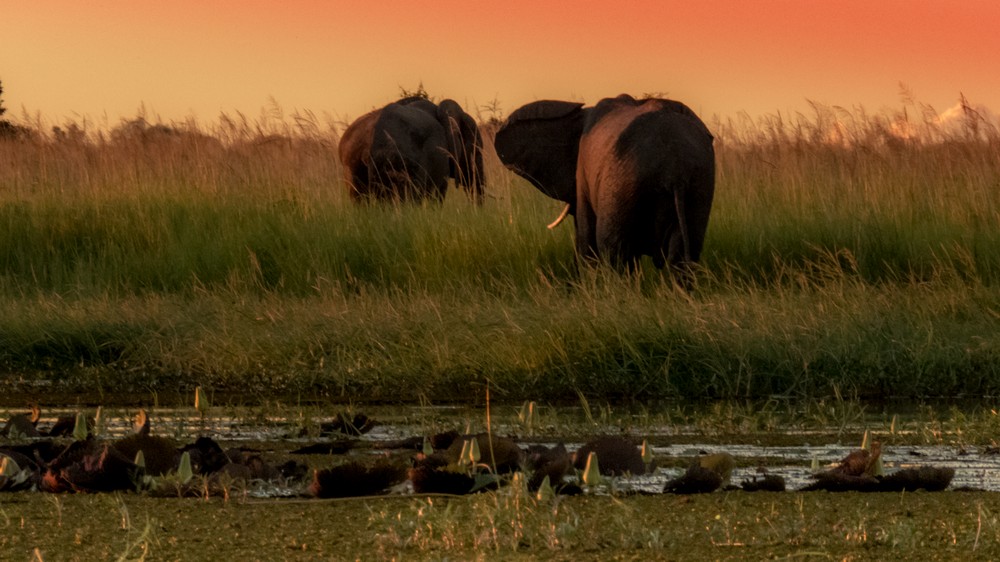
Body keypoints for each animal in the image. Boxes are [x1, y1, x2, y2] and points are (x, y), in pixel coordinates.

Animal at [490, 94, 712, 278]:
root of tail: (675, 166)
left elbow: (586, 237)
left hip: (622, 183)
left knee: (614, 251)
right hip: (698, 185)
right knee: (682, 257)